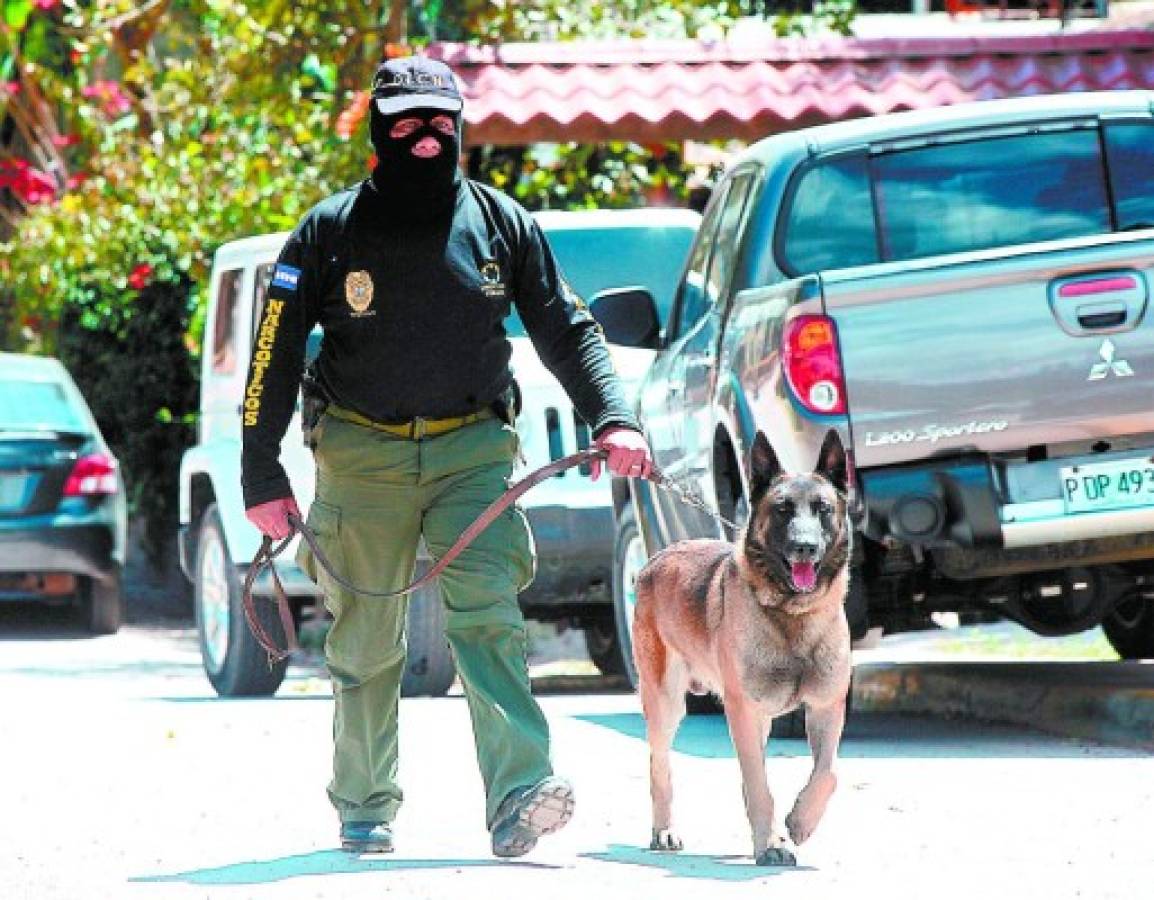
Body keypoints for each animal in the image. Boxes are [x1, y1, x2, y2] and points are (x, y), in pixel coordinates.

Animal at [637, 436, 853, 863]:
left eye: (822, 509)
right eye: (783, 509)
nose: (804, 547)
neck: (792, 614)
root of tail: (659, 556)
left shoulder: (826, 707)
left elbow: (828, 773)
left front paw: (799, 823)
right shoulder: (743, 711)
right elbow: (758, 784)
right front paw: (772, 841)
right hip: (667, 704)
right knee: (659, 764)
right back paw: (665, 829)